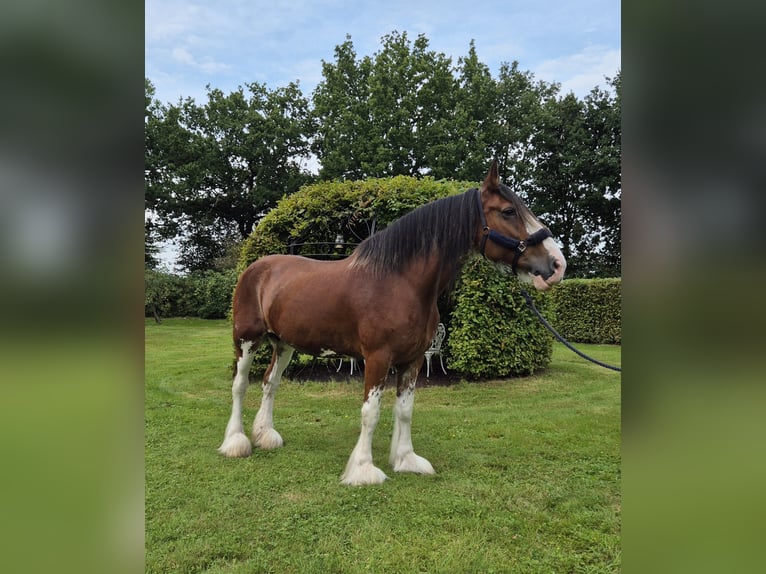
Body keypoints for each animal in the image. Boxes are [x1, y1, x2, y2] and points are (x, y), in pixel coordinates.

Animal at [219, 161, 568, 486]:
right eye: (509, 211)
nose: (557, 264)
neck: (401, 282)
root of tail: (257, 268)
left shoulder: (412, 361)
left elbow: (404, 410)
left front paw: (406, 459)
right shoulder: (377, 358)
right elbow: (370, 413)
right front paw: (363, 470)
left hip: (284, 344)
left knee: (270, 383)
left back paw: (266, 435)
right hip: (246, 339)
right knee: (240, 385)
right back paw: (236, 442)